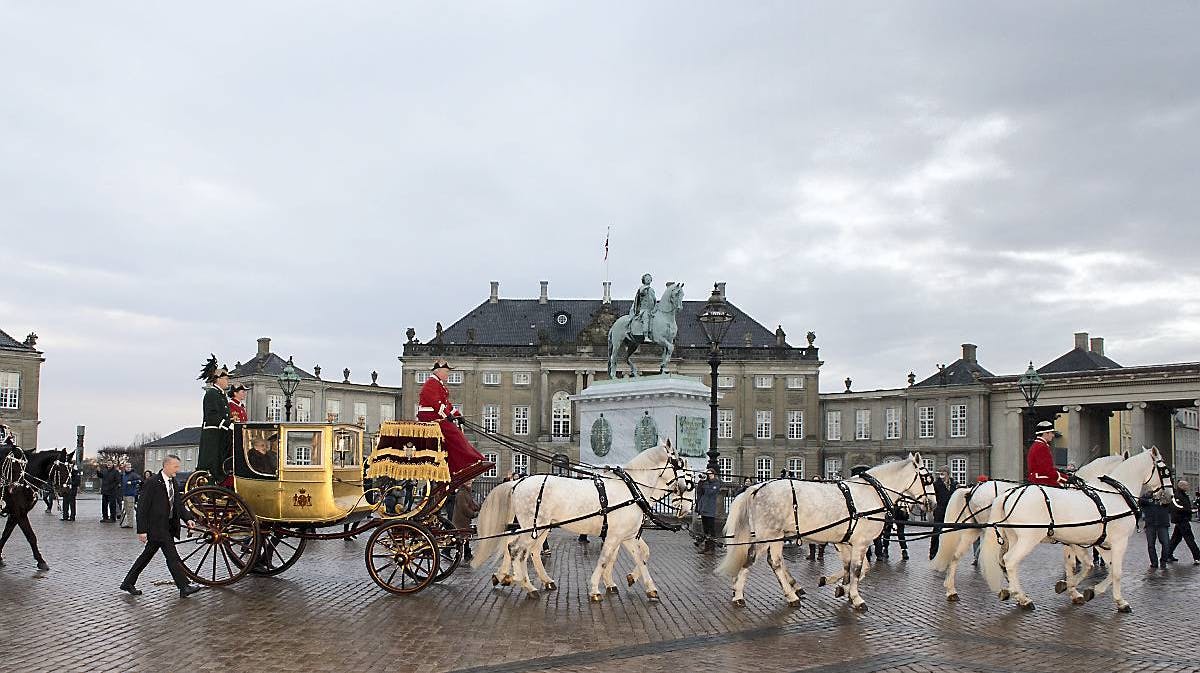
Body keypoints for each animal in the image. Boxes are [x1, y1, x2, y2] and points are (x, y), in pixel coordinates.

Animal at [470, 439, 696, 599]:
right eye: (681, 465)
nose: (687, 508)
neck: (630, 490)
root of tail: (518, 482)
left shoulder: (627, 536)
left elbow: (639, 558)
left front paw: (646, 586)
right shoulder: (614, 536)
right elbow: (605, 559)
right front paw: (596, 588)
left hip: (539, 527)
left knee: (526, 549)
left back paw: (532, 579)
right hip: (533, 527)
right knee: (516, 549)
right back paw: (527, 585)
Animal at [710, 451, 936, 609]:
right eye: (927, 479)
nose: (933, 504)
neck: (870, 493)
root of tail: (758, 487)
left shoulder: (845, 541)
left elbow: (856, 568)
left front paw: (840, 587)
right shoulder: (861, 542)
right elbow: (857, 569)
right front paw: (855, 597)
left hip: (776, 536)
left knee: (774, 562)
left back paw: (789, 592)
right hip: (768, 535)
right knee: (755, 560)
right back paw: (743, 594)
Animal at [936, 451, 1123, 597]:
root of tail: (972, 488)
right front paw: (1072, 589)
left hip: (975, 530)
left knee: (958, 555)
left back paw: (952, 588)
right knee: (1001, 559)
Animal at [974, 443, 1171, 611]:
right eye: (1165, 470)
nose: (1169, 496)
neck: (1115, 494)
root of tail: (1009, 494)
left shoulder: (1091, 542)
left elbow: (1092, 565)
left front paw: (1081, 590)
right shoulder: (1118, 541)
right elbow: (1115, 571)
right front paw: (1119, 601)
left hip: (1014, 537)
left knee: (1004, 562)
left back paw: (1016, 593)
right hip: (1028, 539)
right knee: (1010, 561)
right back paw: (1022, 597)